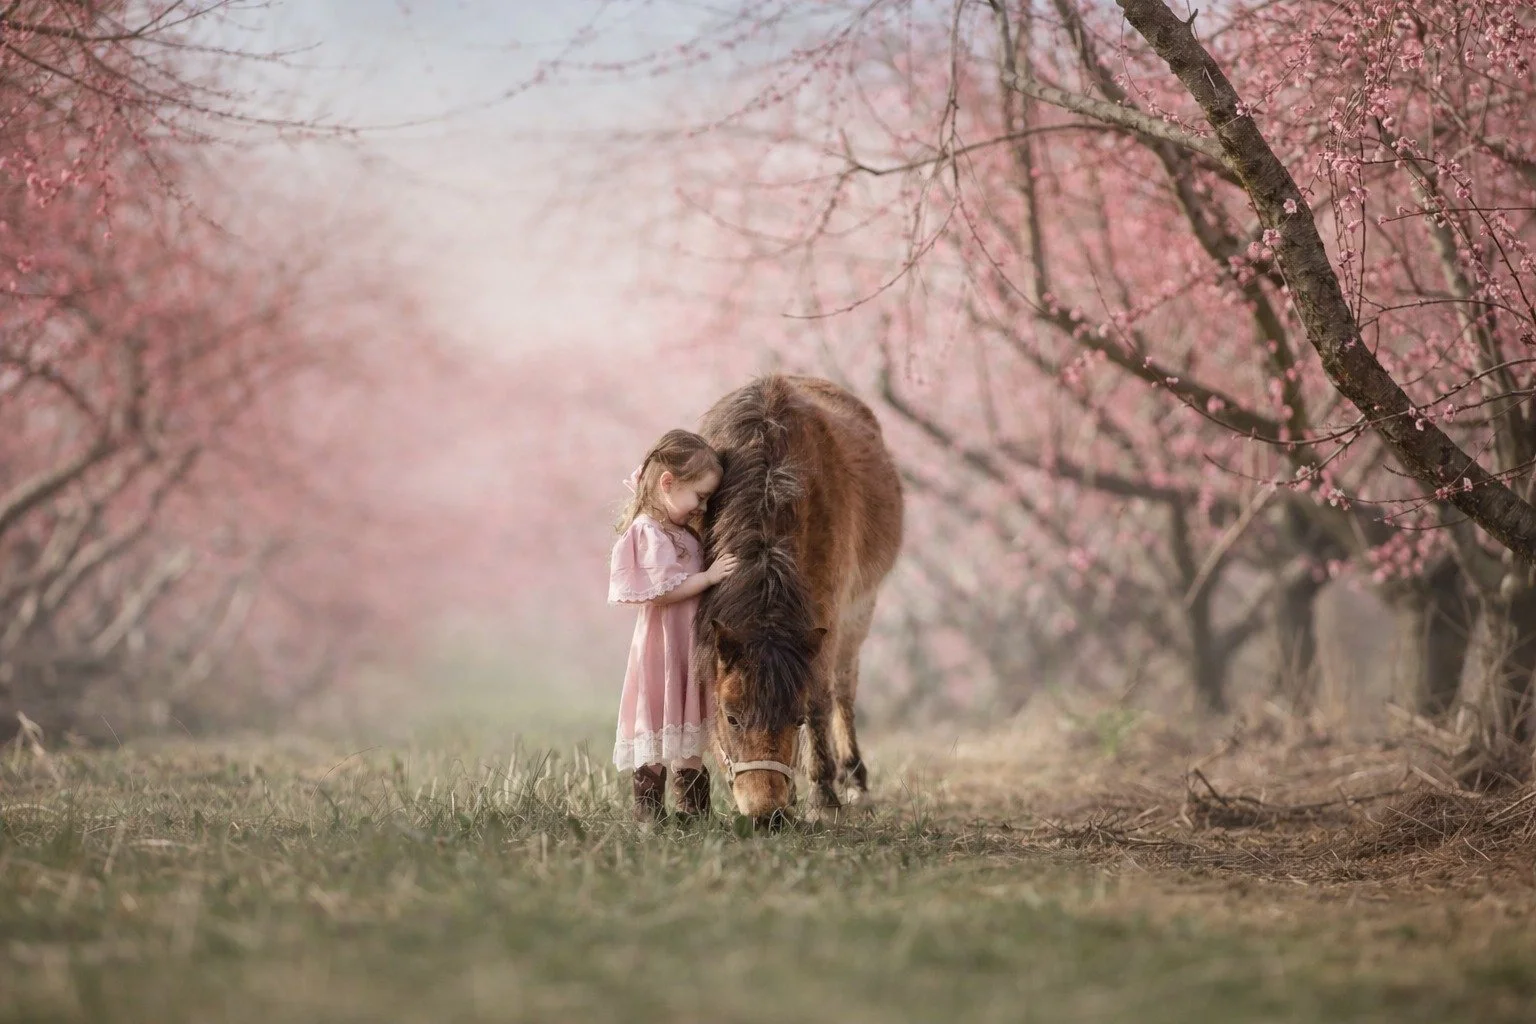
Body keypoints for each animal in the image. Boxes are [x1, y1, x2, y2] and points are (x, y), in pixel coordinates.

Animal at [692, 375, 903, 823]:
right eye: (731, 718)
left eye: (794, 717)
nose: (767, 815)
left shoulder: (827, 612)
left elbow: (819, 701)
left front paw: (823, 793)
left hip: (859, 613)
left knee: (843, 689)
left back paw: (853, 779)